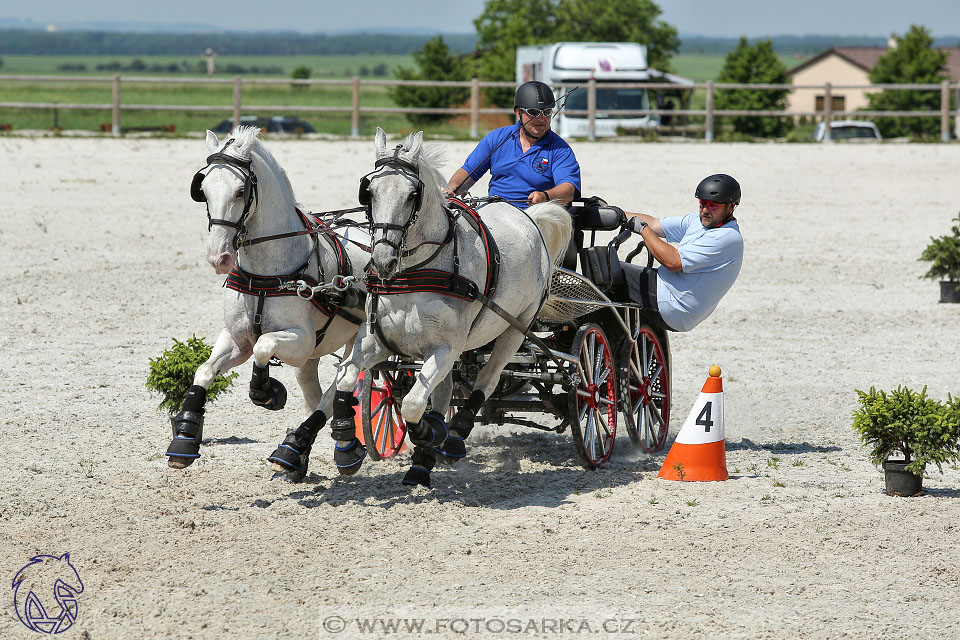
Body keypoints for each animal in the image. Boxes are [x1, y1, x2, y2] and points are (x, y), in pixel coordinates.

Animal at [167, 129, 370, 480]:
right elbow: (204, 371)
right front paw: (184, 439)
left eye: (240, 191)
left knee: (336, 390)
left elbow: (264, 346)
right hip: (316, 354)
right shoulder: (237, 339)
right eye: (202, 190)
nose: (218, 258)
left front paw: (266, 392)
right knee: (315, 393)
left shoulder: (299, 341)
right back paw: (296, 457)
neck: (266, 271)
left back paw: (324, 449)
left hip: (357, 340)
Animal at [318, 129, 572, 490]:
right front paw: (345, 441)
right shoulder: (377, 341)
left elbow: (413, 404)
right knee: (450, 387)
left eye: (413, 194)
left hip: (515, 328)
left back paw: (453, 436)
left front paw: (430, 433)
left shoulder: (444, 348)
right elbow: (346, 378)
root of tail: (527, 217)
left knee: (487, 379)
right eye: (369, 191)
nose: (382, 260)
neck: (416, 272)